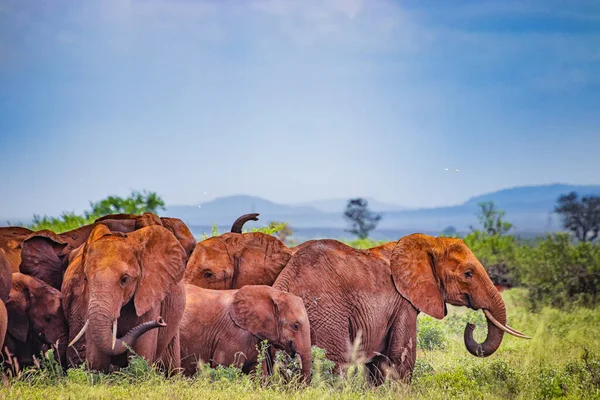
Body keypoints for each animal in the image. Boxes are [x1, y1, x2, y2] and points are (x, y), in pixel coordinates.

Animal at [62, 223, 186, 374]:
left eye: (124, 279)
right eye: (86, 278)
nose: (160, 321)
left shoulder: (149, 293)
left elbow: (140, 359)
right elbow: (96, 360)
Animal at [272, 234, 528, 384]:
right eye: (468, 274)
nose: (471, 324)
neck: (427, 243)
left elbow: (377, 365)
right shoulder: (403, 303)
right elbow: (401, 361)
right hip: (326, 315)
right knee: (335, 365)